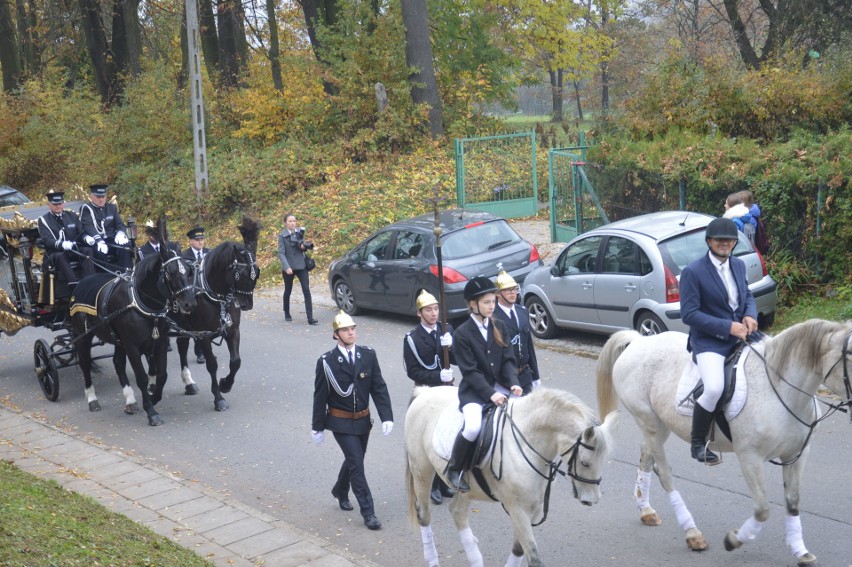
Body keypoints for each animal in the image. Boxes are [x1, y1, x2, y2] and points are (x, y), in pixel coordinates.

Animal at [69, 221, 196, 426]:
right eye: (171, 273)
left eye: (189, 270)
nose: (189, 304)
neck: (143, 304)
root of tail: (81, 282)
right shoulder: (132, 346)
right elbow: (142, 378)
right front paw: (151, 411)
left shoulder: (159, 342)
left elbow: (162, 374)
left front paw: (153, 397)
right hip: (84, 336)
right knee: (85, 363)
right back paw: (92, 398)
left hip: (118, 340)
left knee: (117, 362)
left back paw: (129, 400)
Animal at [169, 215, 256, 410]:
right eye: (240, 273)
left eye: (256, 273)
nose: (247, 304)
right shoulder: (204, 335)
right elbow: (212, 364)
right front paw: (218, 397)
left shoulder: (233, 330)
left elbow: (236, 361)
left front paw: (226, 384)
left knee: (182, 347)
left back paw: (189, 383)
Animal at [402, 386, 616, 567]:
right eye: (585, 463)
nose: (591, 500)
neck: (529, 443)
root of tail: (425, 391)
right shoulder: (518, 509)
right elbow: (534, 557)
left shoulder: (534, 508)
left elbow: (519, 549)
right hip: (422, 470)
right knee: (424, 514)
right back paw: (432, 559)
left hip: (467, 487)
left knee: (457, 511)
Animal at [596, 318, 848, 564]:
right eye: (850, 355)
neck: (780, 390)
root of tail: (639, 341)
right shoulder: (750, 458)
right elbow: (762, 509)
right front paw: (734, 540)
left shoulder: (796, 455)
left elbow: (793, 502)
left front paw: (800, 551)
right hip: (650, 423)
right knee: (665, 474)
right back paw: (692, 533)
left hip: (658, 426)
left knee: (647, 457)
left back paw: (646, 511)